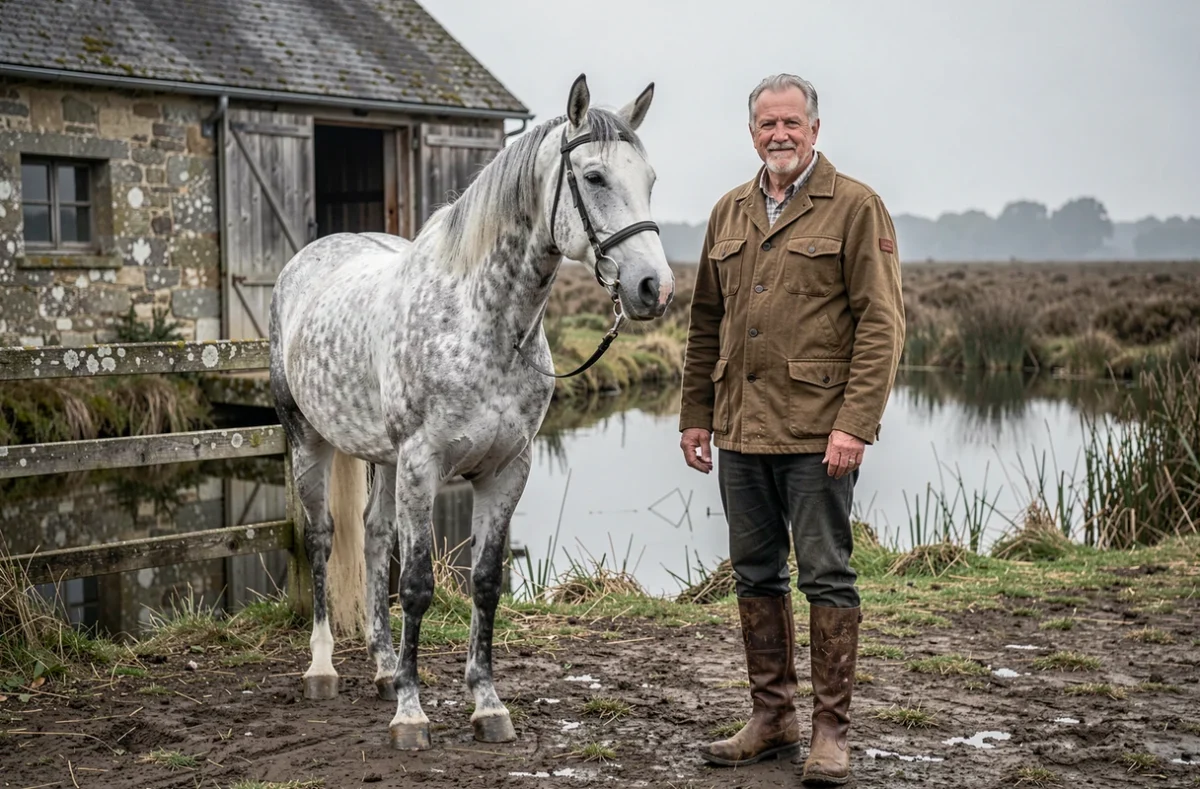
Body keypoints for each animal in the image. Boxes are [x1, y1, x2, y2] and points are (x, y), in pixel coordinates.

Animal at [267, 73, 675, 751]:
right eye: (593, 177)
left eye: (650, 177)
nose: (654, 288)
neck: (482, 322)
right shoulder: (423, 465)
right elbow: (417, 585)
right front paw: (411, 715)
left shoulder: (505, 469)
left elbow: (484, 583)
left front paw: (486, 704)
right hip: (310, 440)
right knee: (323, 538)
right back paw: (323, 668)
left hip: (383, 460)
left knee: (374, 537)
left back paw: (383, 668)